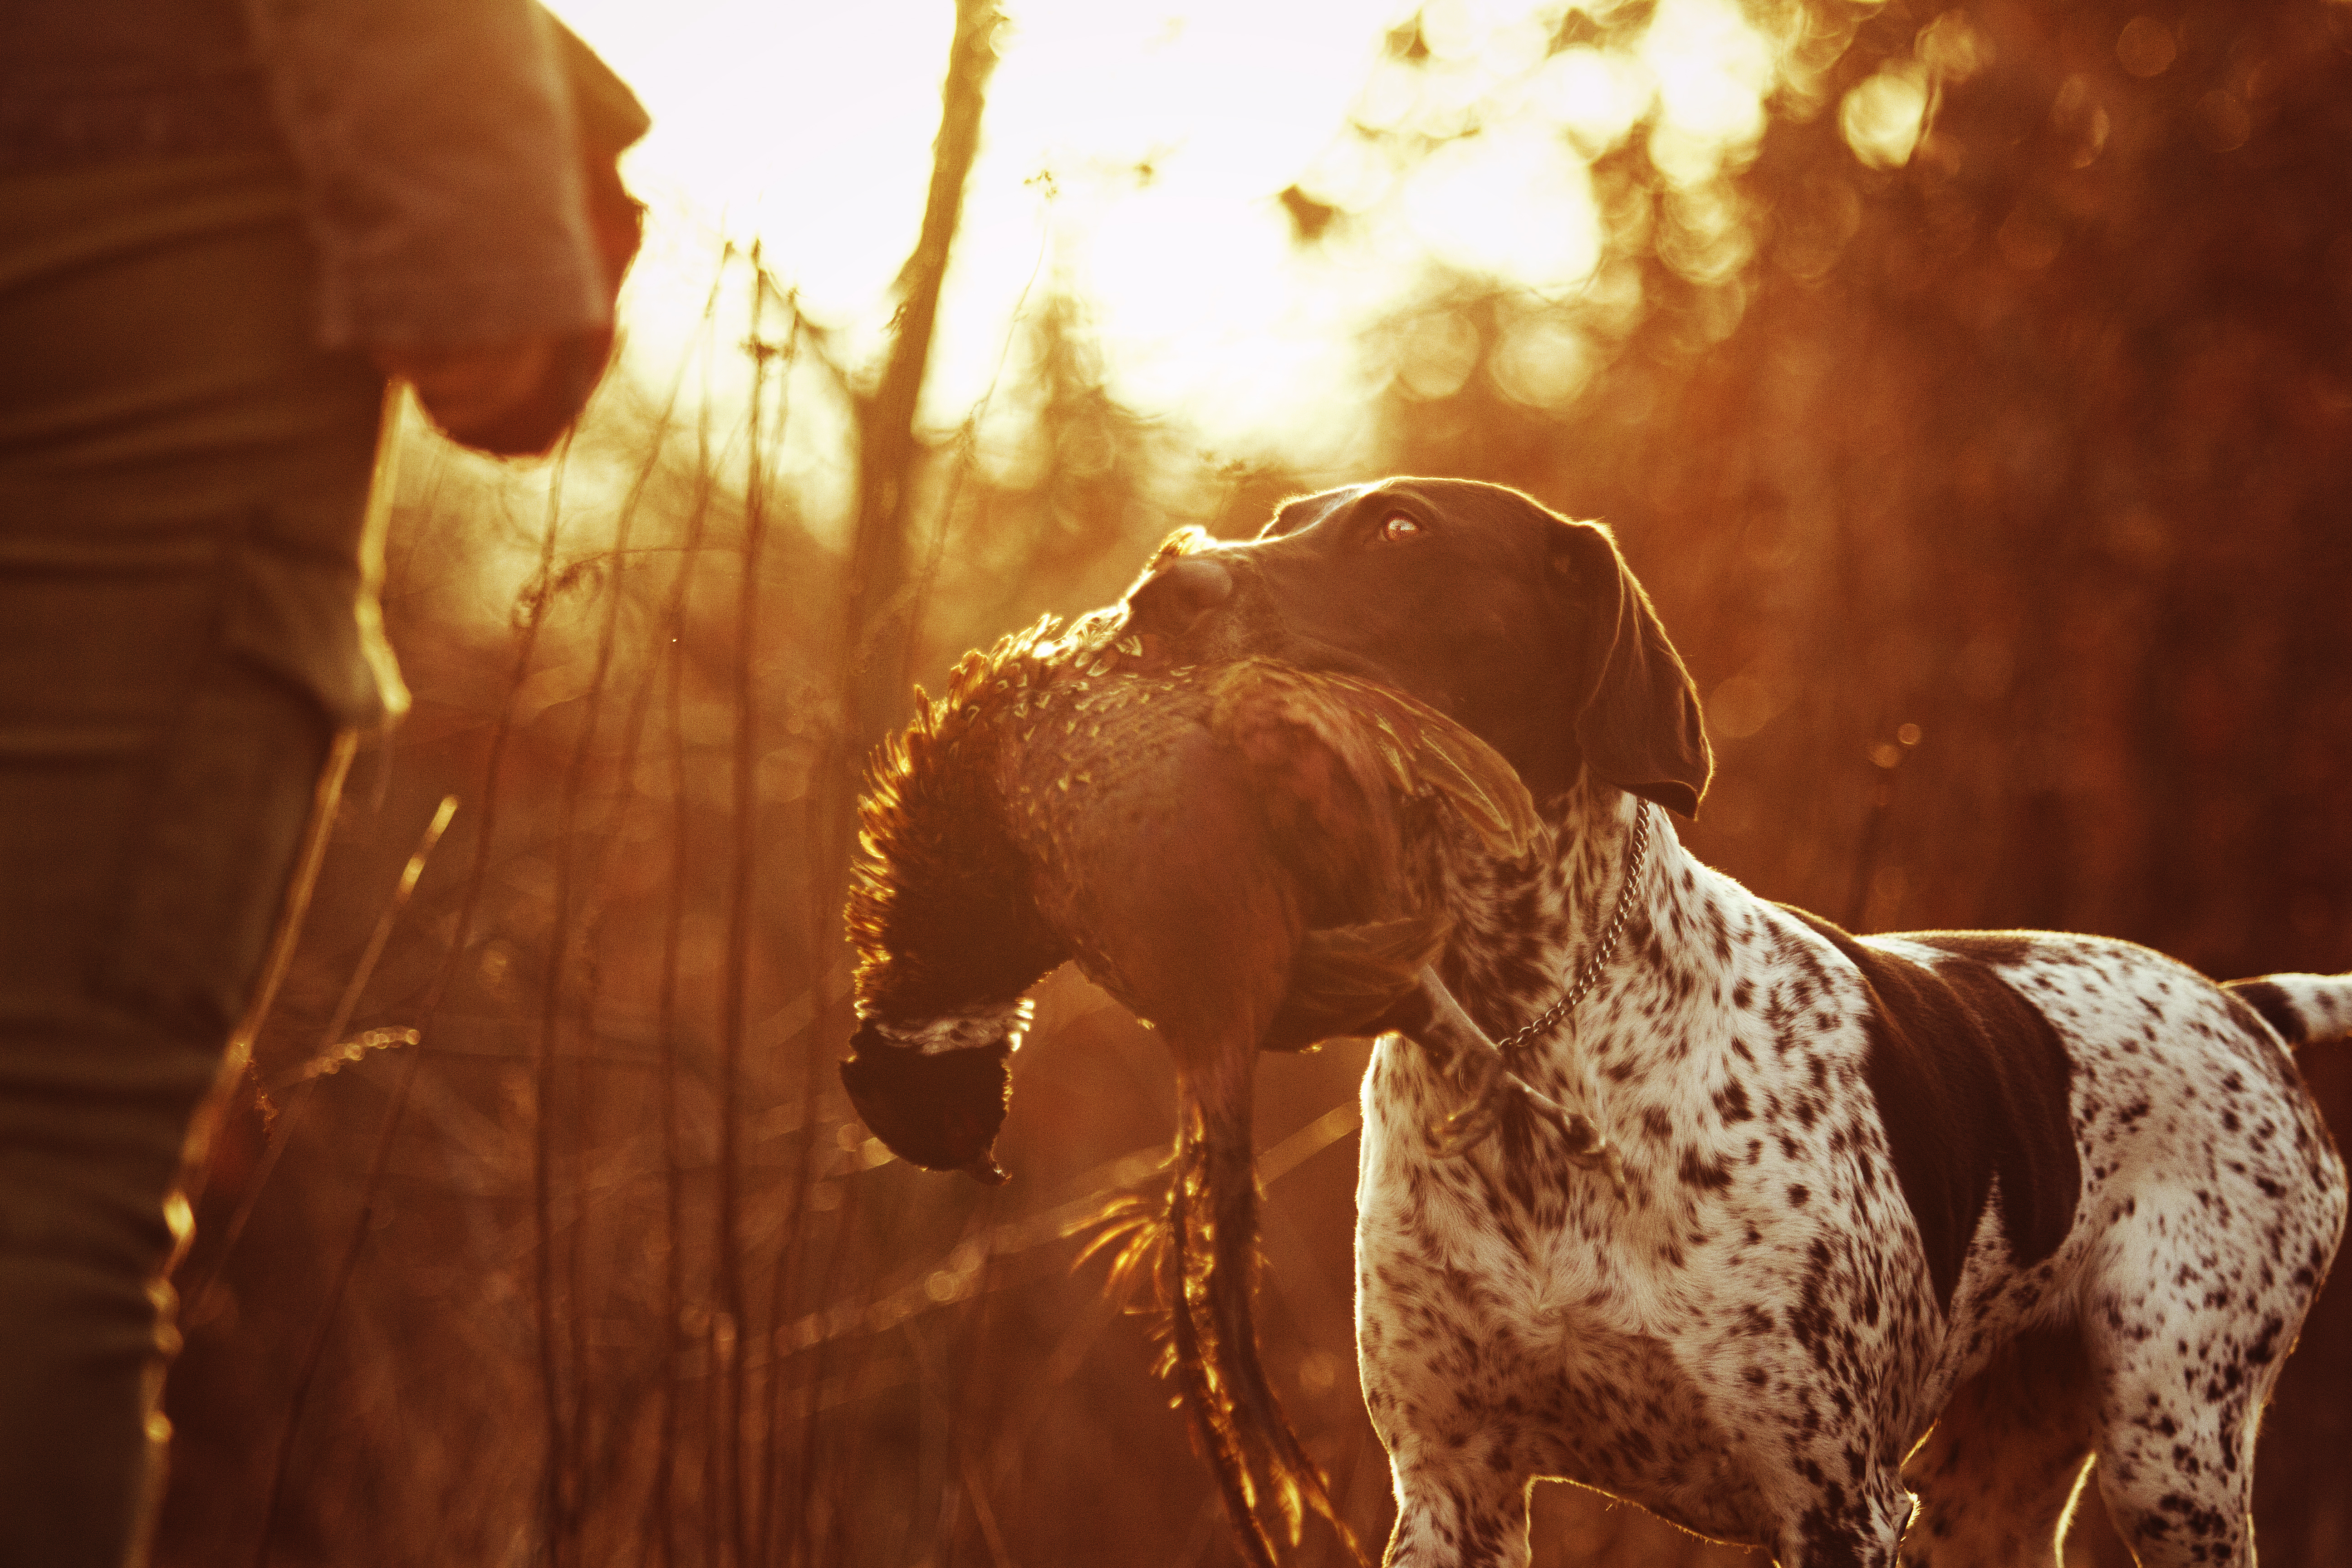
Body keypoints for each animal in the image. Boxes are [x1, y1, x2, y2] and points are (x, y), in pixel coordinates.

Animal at [1124, 482, 2352, 1568]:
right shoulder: (1450, 1489)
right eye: (1282, 518)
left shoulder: (1834, 1504)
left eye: (1398, 529)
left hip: (2170, 1447)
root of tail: (2242, 1003)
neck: (1525, 1046)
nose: (1157, 588)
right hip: (1993, 1485)